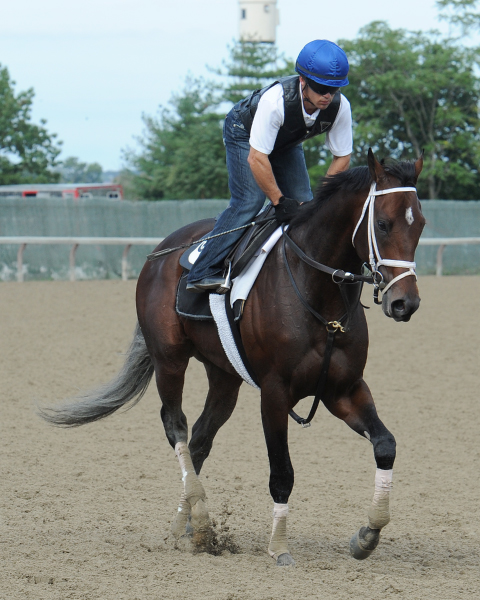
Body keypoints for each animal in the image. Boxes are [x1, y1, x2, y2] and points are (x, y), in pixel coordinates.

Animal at [40, 149, 425, 567]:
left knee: (200, 439)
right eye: (383, 224)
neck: (319, 297)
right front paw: (279, 547)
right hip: (169, 360)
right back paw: (201, 520)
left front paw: (367, 534)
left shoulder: (344, 389)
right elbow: (282, 473)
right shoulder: (274, 393)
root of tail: (162, 252)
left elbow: (385, 445)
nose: (405, 302)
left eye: (420, 224)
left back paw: (186, 526)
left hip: (224, 376)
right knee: (176, 427)